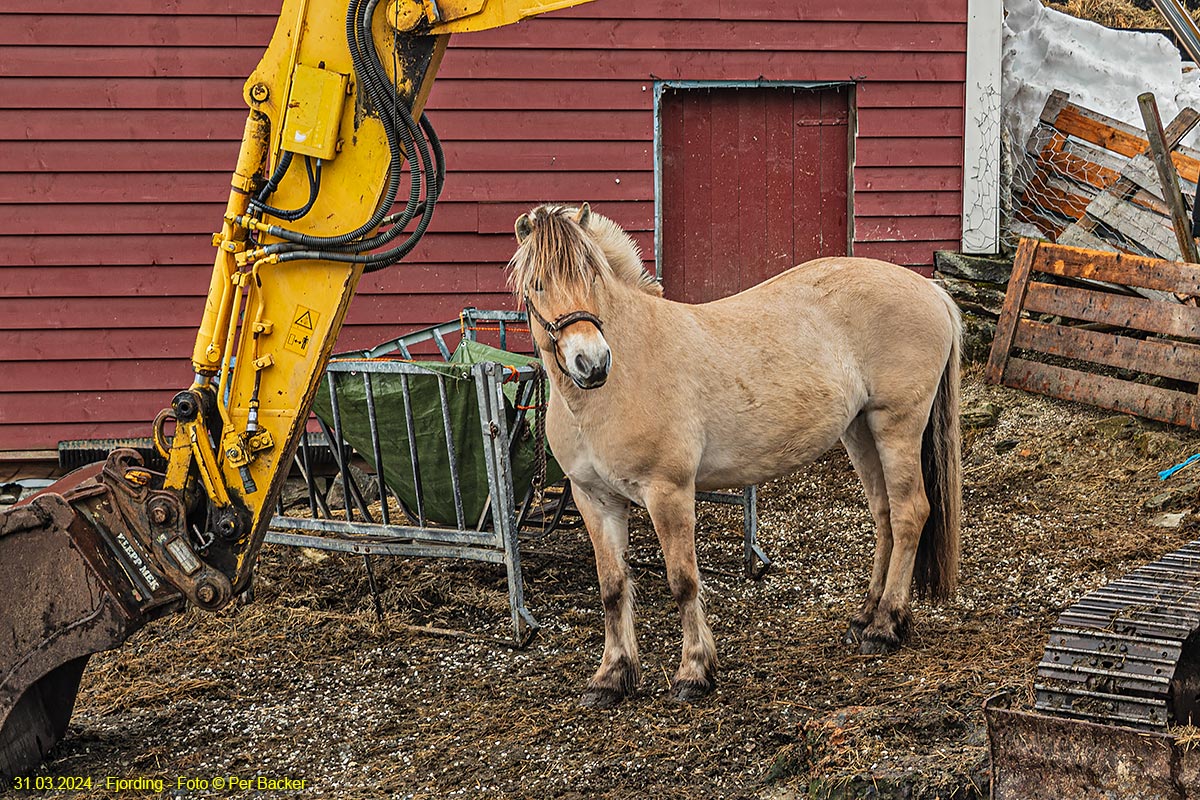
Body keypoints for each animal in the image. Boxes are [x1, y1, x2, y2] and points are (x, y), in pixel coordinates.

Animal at [508, 201, 964, 705]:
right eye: (537, 284)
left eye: (593, 278)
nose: (591, 363)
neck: (622, 377)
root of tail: (930, 290)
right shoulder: (594, 498)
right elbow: (611, 587)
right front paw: (611, 676)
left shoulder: (668, 492)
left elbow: (683, 581)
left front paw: (693, 672)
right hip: (860, 430)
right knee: (884, 515)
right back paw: (865, 617)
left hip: (896, 426)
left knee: (908, 513)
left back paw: (885, 628)